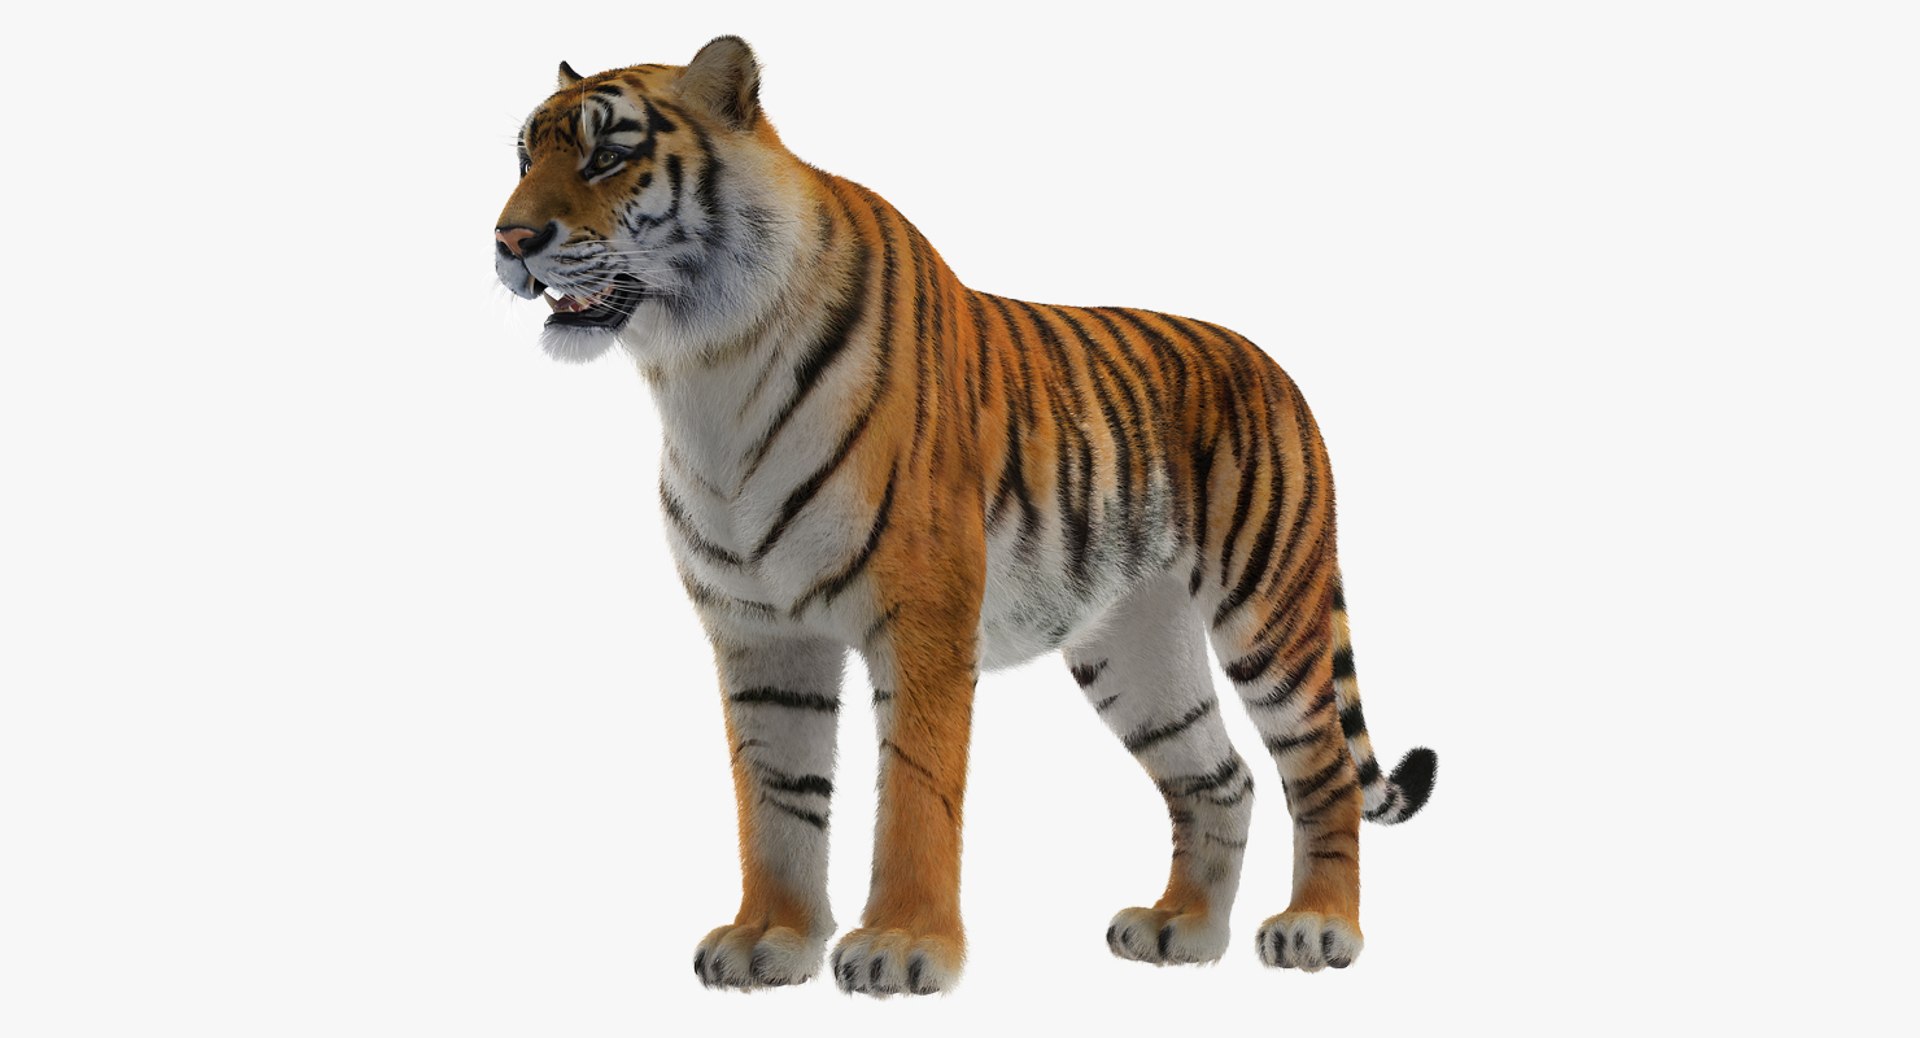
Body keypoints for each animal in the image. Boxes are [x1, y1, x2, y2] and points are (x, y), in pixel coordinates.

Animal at [492, 36, 1437, 996]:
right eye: (523, 159)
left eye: (609, 155)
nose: (510, 239)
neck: (704, 367)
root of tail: (1273, 366)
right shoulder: (758, 630)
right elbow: (775, 797)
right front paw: (770, 939)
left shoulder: (923, 613)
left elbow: (915, 788)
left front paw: (902, 946)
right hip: (1136, 643)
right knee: (1221, 777)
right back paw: (1183, 929)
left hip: (1268, 606)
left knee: (1321, 768)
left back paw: (1317, 928)